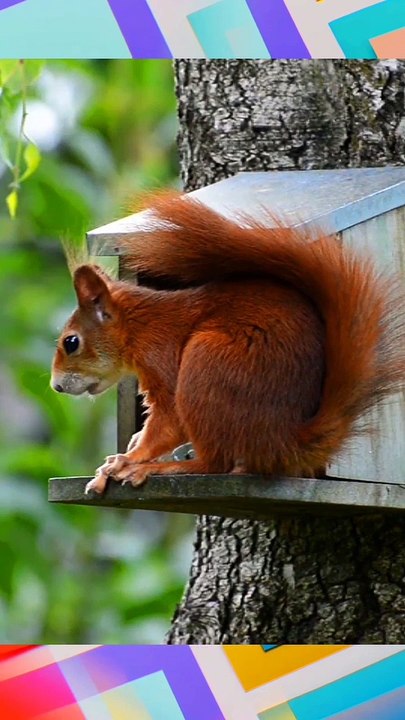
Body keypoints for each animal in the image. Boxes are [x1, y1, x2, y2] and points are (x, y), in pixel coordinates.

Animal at [51, 192, 405, 494]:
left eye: (71, 342)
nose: (56, 386)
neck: (139, 326)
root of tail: (284, 442)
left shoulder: (161, 356)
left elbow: (169, 421)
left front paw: (129, 459)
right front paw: (122, 454)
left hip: (207, 363)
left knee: (214, 463)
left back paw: (159, 468)